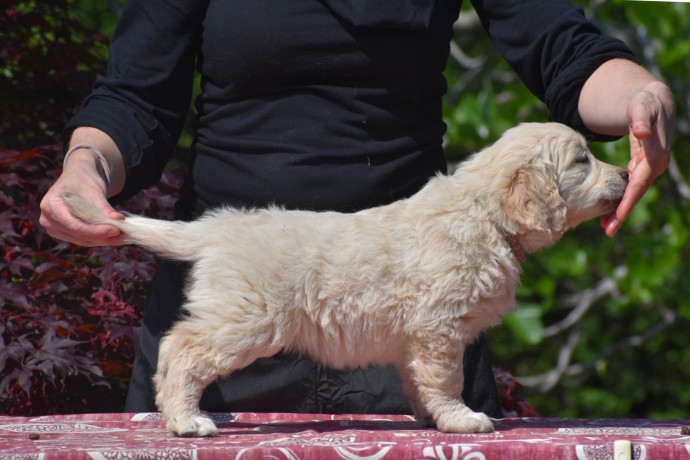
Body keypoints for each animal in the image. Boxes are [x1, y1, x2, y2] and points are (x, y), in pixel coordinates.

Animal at [61, 121, 628, 434]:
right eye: (582, 160)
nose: (625, 174)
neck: (485, 212)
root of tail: (217, 229)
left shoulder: (417, 338)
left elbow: (419, 381)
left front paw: (429, 419)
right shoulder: (439, 329)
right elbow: (447, 379)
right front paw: (461, 418)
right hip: (244, 320)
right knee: (180, 350)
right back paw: (185, 421)